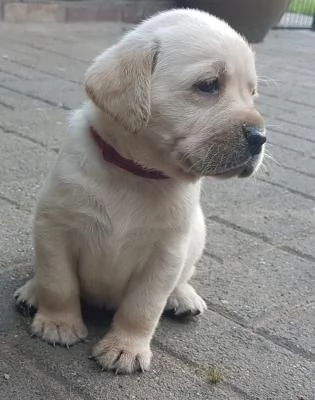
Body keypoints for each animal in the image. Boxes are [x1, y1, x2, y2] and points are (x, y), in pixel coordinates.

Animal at [15, 7, 266, 374]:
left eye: (252, 93)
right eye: (208, 85)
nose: (261, 137)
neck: (136, 174)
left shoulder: (165, 254)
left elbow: (142, 307)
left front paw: (125, 348)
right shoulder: (55, 227)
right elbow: (59, 281)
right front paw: (58, 323)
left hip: (197, 236)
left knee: (183, 277)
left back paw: (183, 296)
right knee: (44, 275)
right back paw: (32, 292)